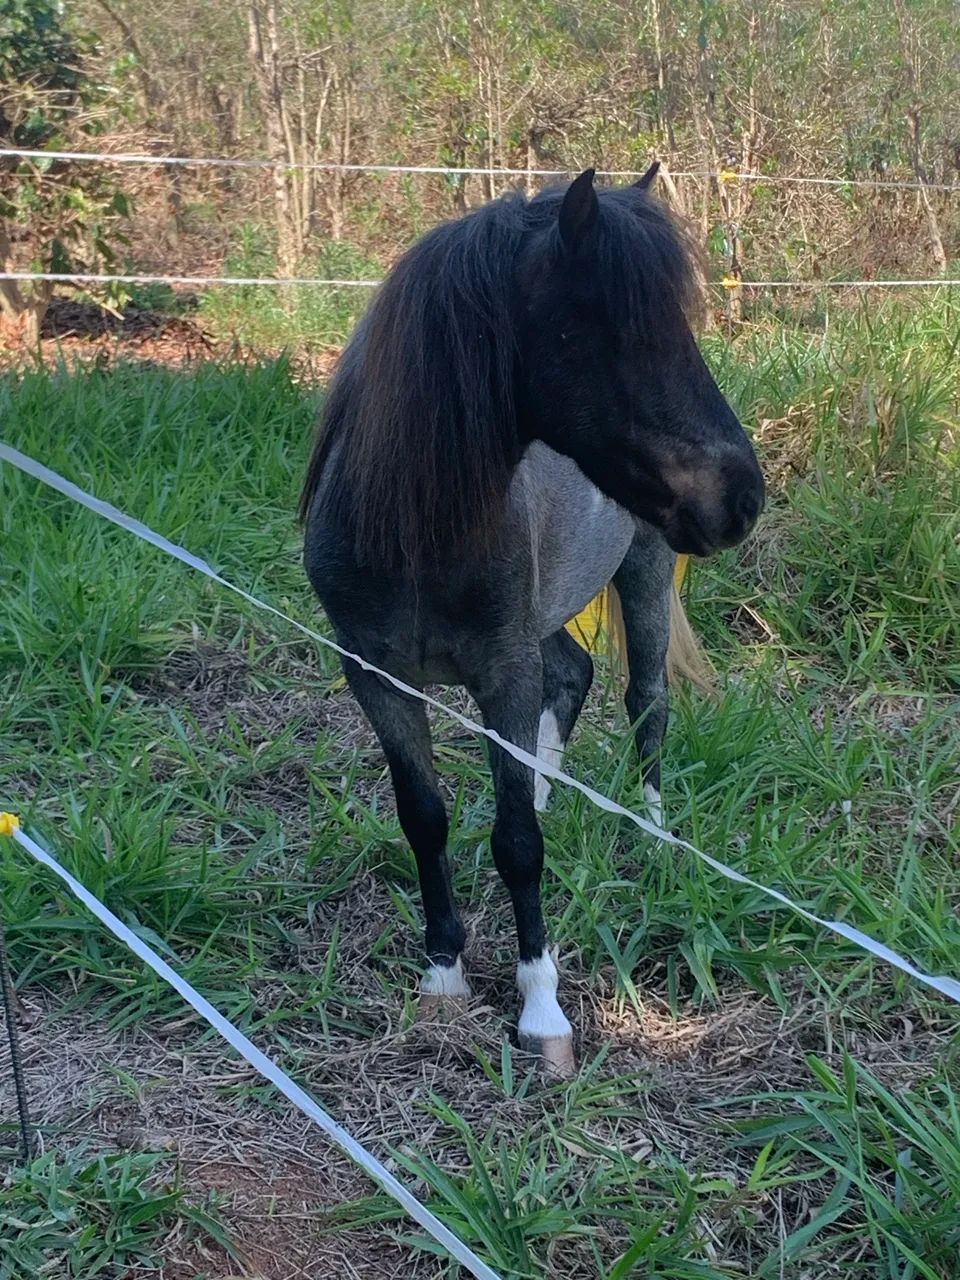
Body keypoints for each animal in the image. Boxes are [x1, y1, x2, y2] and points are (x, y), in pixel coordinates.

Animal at [299, 166, 764, 1075]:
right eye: (610, 333)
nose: (744, 496)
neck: (414, 526)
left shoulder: (500, 671)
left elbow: (516, 843)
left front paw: (541, 1009)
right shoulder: (377, 676)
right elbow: (426, 818)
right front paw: (443, 972)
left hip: (640, 576)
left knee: (646, 706)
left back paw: (652, 837)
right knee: (571, 681)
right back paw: (552, 789)